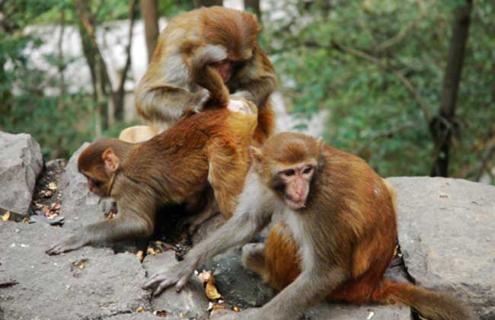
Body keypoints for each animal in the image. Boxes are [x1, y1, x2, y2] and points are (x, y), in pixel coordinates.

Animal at [45, 64, 260, 255]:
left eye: (91, 179)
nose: (90, 188)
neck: (122, 162)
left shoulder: (129, 186)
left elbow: (138, 223)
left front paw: (79, 236)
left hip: (227, 140)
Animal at [134, 5, 278, 143]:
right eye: (222, 61)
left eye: (234, 62)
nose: (225, 71)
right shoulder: (175, 48)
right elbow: (147, 94)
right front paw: (195, 99)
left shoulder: (253, 49)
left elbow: (267, 79)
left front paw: (242, 97)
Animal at [144, 132, 476, 320]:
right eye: (289, 173)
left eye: (306, 170)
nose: (301, 189)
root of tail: (372, 283)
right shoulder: (260, 178)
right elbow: (248, 221)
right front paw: (183, 266)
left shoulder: (322, 206)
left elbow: (326, 272)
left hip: (345, 287)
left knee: (285, 234)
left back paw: (261, 264)